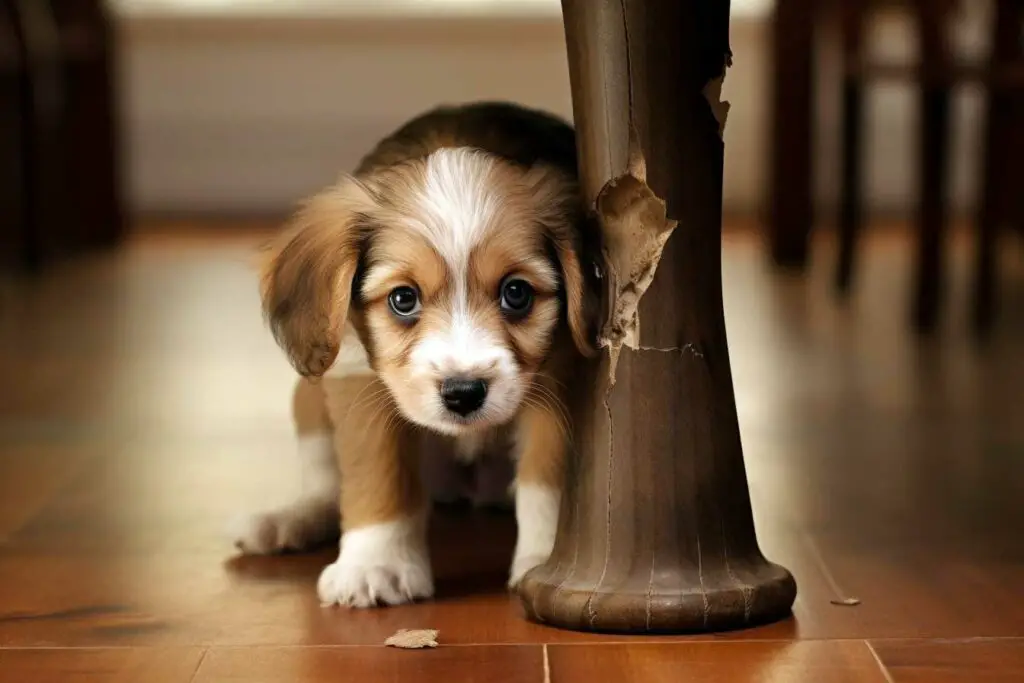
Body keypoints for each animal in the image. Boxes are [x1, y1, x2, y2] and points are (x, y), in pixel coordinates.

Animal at [233, 102, 598, 610]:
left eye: (517, 293)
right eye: (403, 299)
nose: (463, 393)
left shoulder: (561, 380)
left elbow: (546, 481)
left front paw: (547, 562)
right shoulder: (355, 376)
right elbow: (377, 475)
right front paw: (375, 565)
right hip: (307, 397)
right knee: (326, 486)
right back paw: (287, 520)